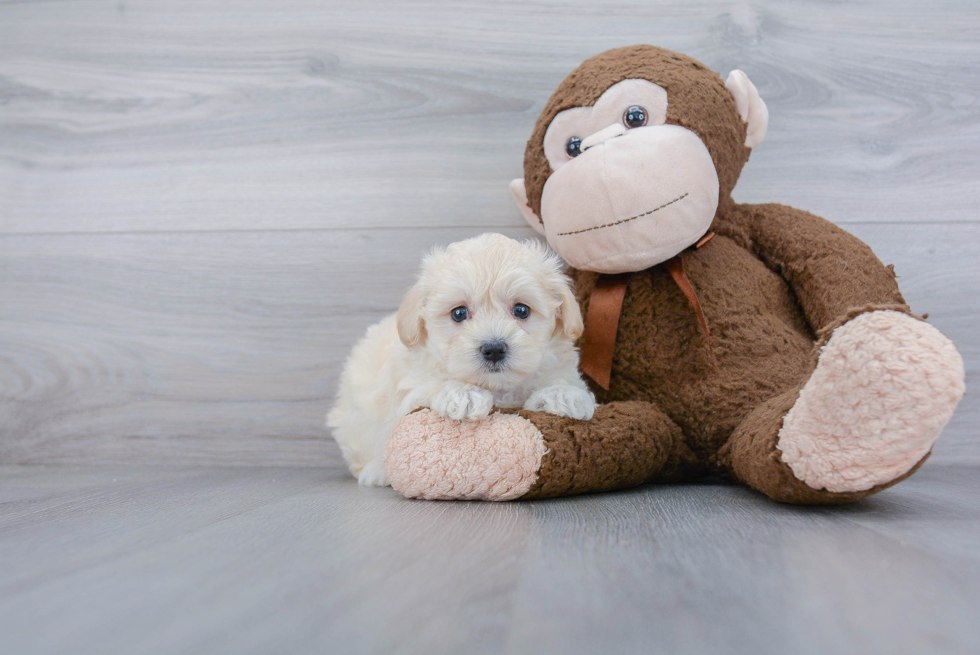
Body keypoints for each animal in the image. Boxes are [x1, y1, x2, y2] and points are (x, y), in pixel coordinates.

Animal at [328, 234, 596, 486]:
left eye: (521, 310)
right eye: (458, 313)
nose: (494, 349)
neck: (498, 387)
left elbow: (564, 381)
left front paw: (561, 395)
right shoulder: (409, 383)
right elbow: (429, 384)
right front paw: (464, 395)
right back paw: (375, 472)